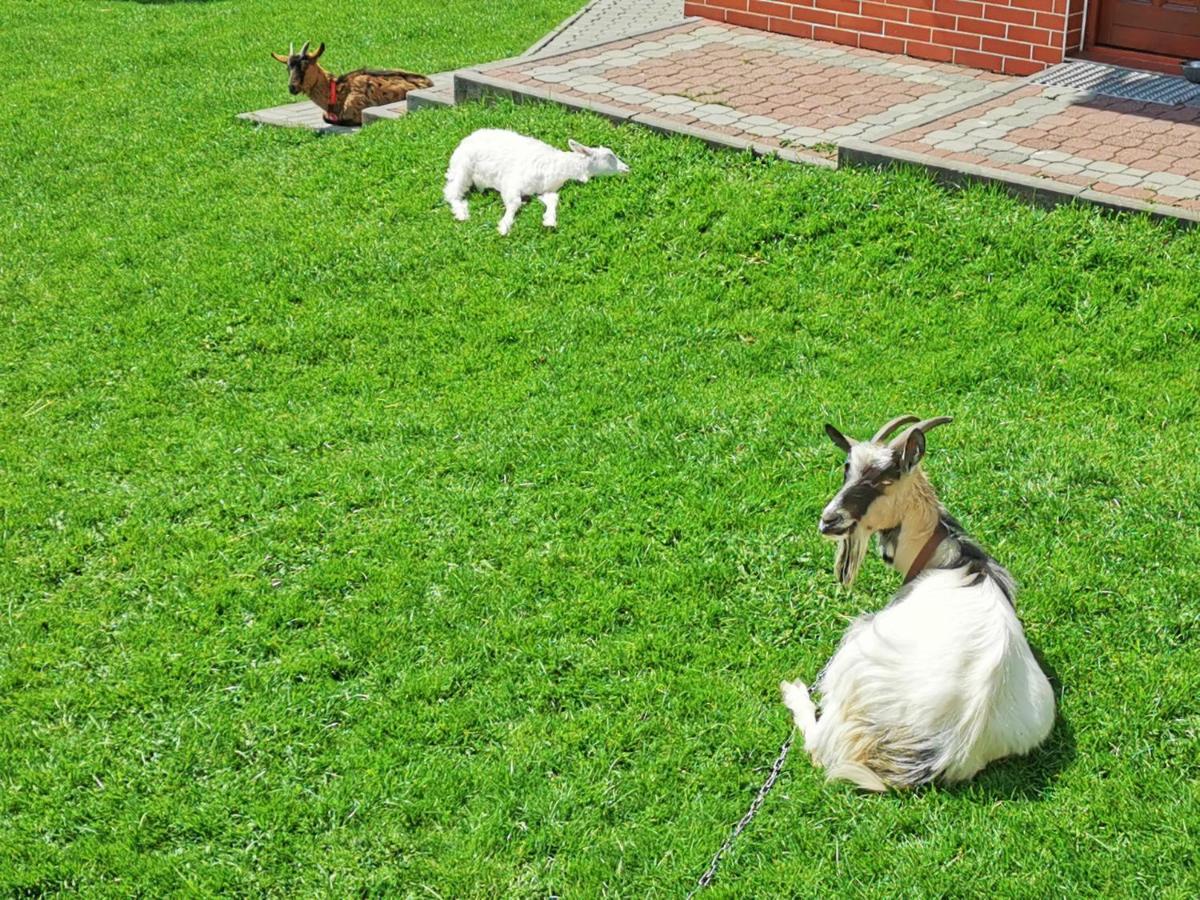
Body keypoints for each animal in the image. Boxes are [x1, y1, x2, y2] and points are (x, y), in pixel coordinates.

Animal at [441, 130, 628, 237]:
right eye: (609, 156)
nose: (627, 168)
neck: (562, 166)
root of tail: (469, 137)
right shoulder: (511, 182)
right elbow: (515, 203)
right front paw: (504, 226)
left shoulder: (544, 189)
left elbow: (553, 200)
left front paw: (549, 221)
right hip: (462, 167)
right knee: (452, 193)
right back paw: (462, 213)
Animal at [777, 415, 1051, 787]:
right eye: (847, 468)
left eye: (884, 479)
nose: (829, 519)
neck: (945, 557)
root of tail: (945, 751)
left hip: (854, 663)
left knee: (819, 746)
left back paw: (793, 692)